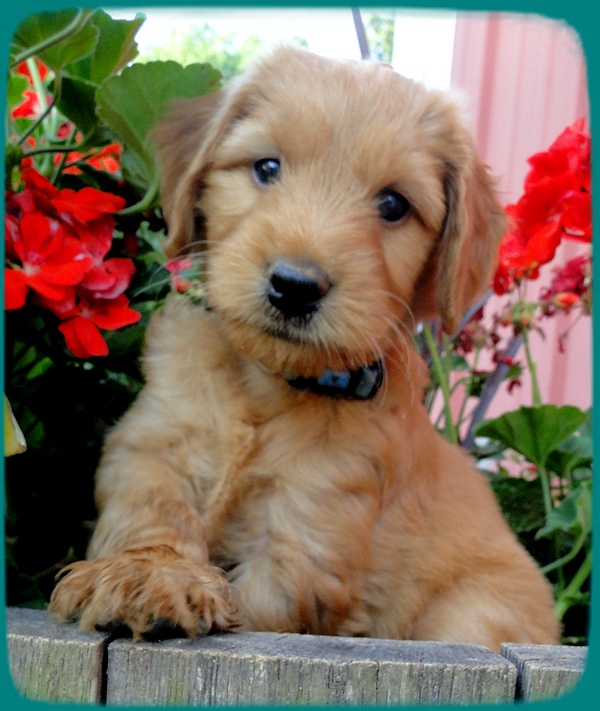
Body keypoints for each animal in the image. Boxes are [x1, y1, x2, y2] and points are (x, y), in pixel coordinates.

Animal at [49, 46, 560, 651]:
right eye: (267, 168)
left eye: (394, 204)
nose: (295, 286)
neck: (265, 384)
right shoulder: (152, 441)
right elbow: (148, 507)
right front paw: (149, 574)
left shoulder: (310, 537)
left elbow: (256, 604)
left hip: (470, 614)